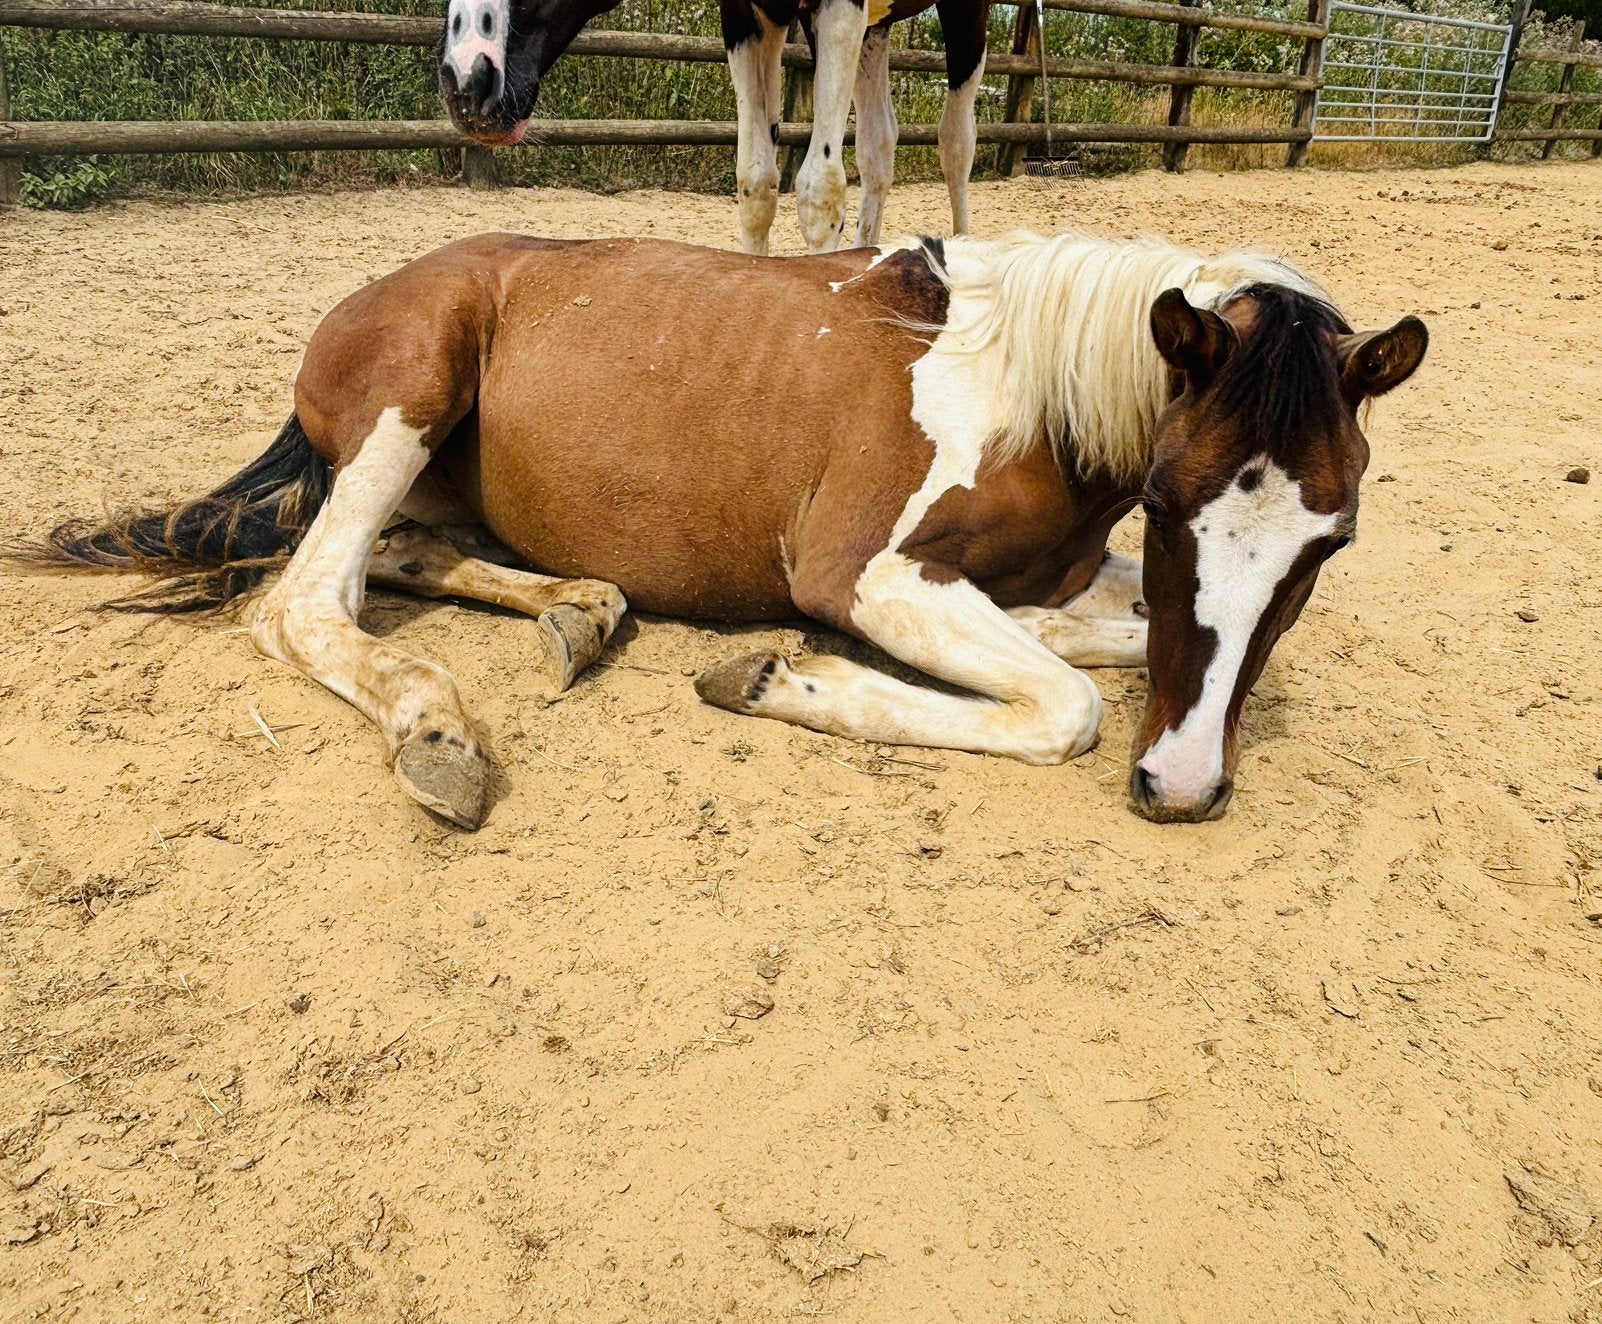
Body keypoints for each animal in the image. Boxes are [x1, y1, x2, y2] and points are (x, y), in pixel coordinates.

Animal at [18, 229, 1427, 829]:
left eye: (1333, 543)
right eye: (1177, 498)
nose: (1181, 787)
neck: (1034, 387)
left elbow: (1124, 636)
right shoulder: (864, 574)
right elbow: (1068, 702)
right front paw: (774, 678)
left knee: (401, 555)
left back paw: (581, 611)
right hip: (412, 392)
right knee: (311, 602)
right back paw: (441, 734)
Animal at [437, 0, 991, 254]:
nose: (465, 81)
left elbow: (819, 191)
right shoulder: (748, 16)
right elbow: (756, 184)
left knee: (956, 144)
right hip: (877, 28)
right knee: (880, 146)